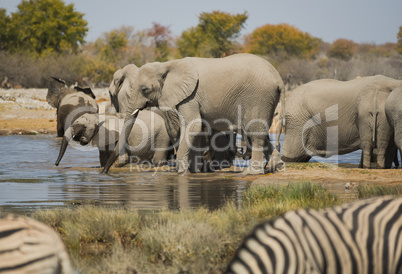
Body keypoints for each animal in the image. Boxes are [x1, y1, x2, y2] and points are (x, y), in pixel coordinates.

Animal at [103, 52, 286, 174]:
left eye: (145, 89)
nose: (105, 172)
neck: (167, 65)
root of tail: (279, 78)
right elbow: (198, 128)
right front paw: (194, 170)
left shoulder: (190, 96)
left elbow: (193, 125)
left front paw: (182, 172)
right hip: (266, 100)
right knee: (260, 132)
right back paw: (275, 166)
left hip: (259, 97)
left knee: (255, 133)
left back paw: (252, 172)